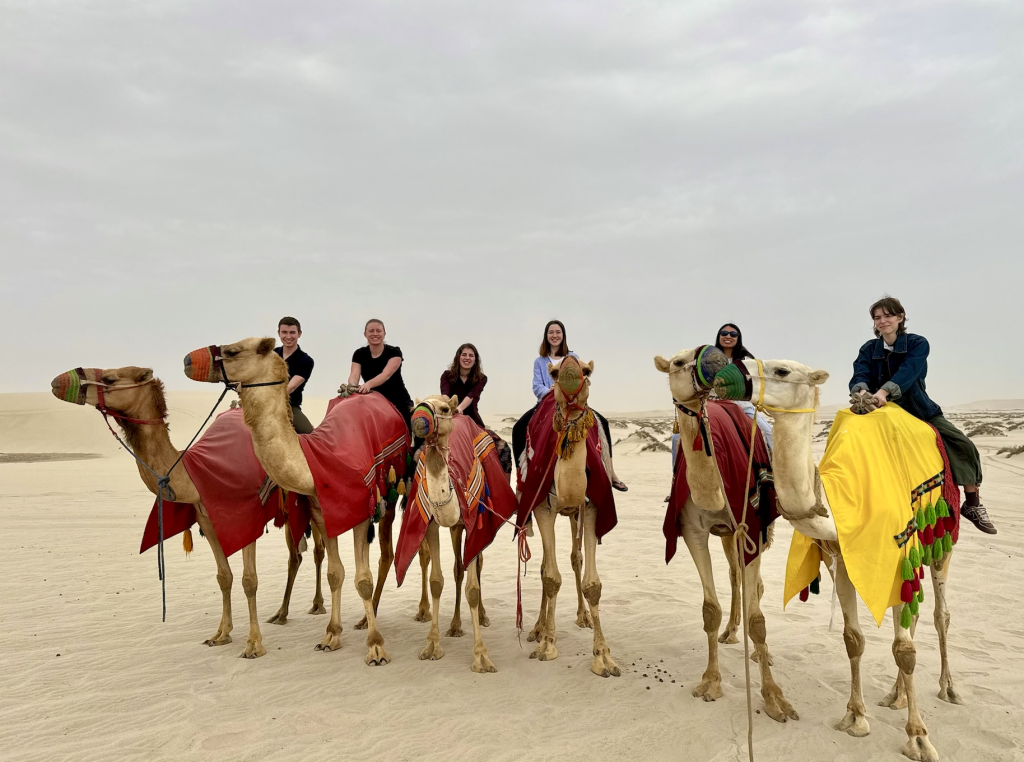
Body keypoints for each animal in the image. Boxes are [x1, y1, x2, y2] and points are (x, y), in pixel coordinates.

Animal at [655, 348, 798, 725]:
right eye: (677, 362)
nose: (713, 359)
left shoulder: (752, 527)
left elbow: (758, 618)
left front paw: (775, 699)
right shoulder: (693, 531)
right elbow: (710, 609)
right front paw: (710, 682)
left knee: (753, 585)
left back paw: (759, 652)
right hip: (725, 534)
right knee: (735, 576)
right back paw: (731, 633)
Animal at [712, 358, 958, 762]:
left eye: (781, 370)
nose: (722, 375)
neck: (836, 497)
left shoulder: (894, 554)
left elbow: (904, 650)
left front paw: (919, 738)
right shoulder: (841, 560)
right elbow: (853, 639)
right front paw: (856, 718)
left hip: (941, 539)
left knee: (940, 614)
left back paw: (948, 688)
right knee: (916, 613)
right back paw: (895, 695)